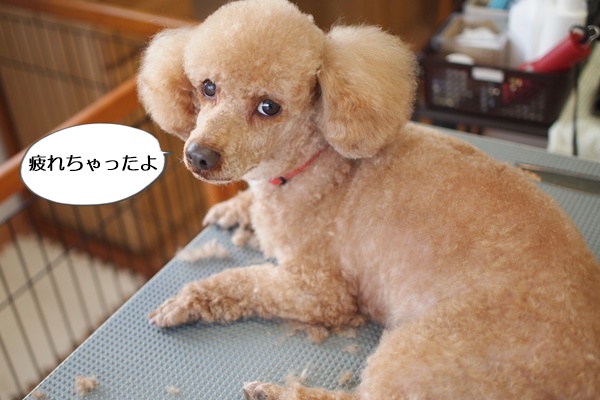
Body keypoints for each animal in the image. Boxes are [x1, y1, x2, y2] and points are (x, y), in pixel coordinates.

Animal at [137, 0, 600, 398]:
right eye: (207, 87)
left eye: (269, 107)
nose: (199, 155)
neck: (313, 166)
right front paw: (233, 209)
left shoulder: (322, 291)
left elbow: (242, 282)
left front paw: (188, 300)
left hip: (427, 351)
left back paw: (276, 392)